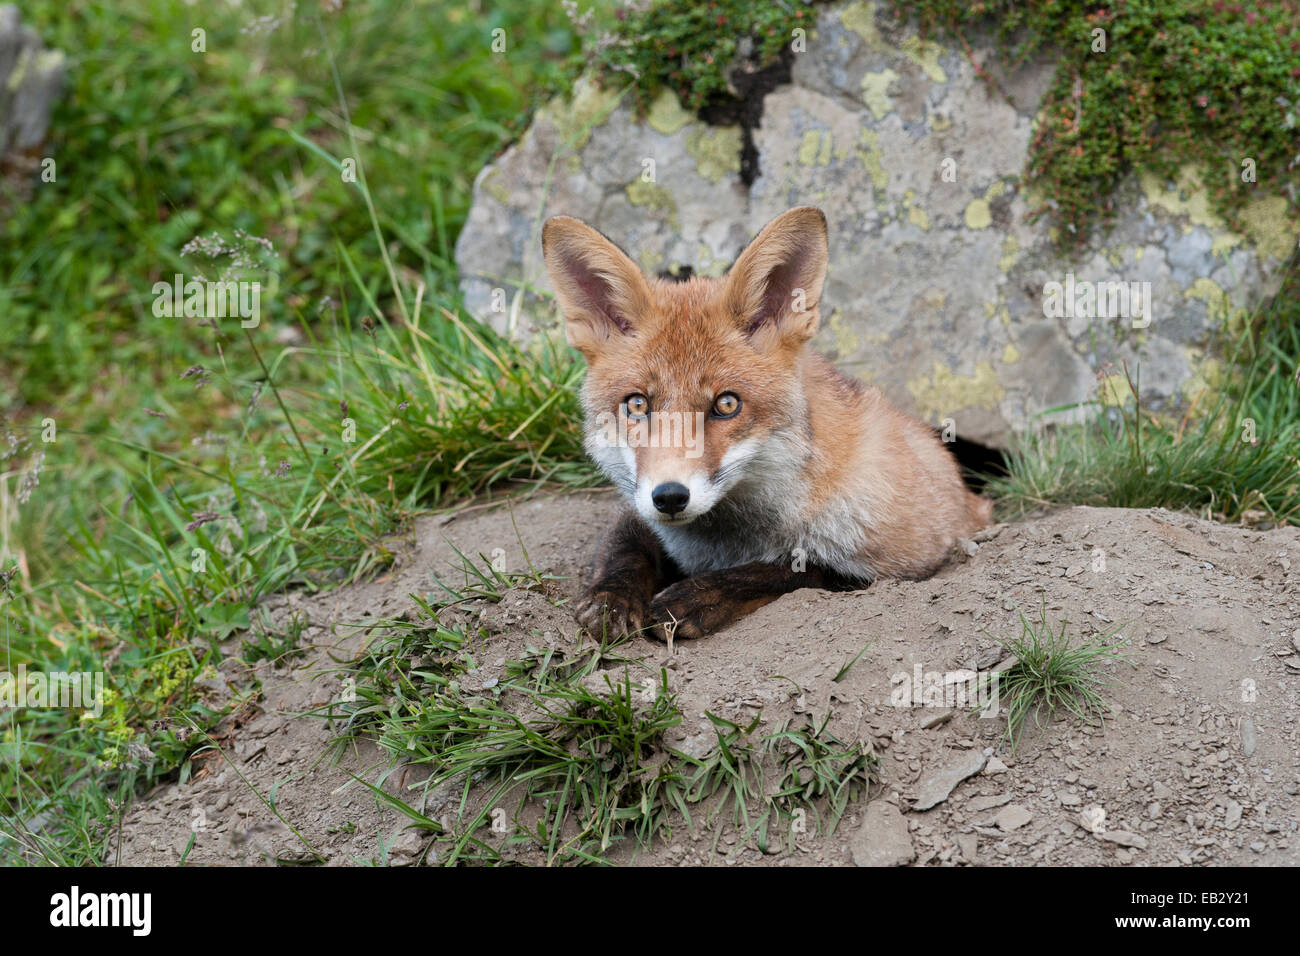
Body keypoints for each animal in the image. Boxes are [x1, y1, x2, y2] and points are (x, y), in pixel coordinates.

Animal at [540, 209, 993, 642]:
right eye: (636, 404)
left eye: (726, 404)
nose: (669, 496)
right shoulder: (636, 504)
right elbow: (624, 545)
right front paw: (611, 598)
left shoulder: (900, 561)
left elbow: (790, 569)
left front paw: (700, 595)